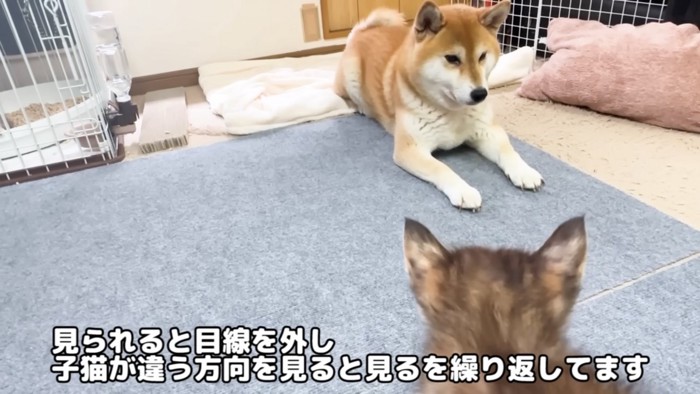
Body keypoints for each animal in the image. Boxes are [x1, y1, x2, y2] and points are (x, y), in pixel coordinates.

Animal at [336, 0, 544, 212]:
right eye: (452, 58)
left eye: (482, 56)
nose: (480, 93)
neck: (453, 111)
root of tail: (363, 30)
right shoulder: (410, 148)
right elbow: (441, 168)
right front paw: (463, 190)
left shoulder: (488, 131)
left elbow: (508, 151)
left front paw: (524, 171)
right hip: (351, 78)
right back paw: (362, 107)